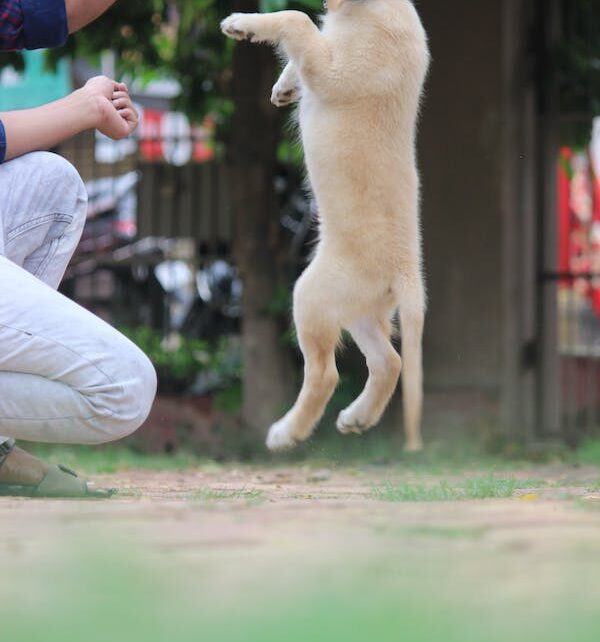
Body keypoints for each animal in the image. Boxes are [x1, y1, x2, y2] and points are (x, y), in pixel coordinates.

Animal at [223, 0, 428, 450]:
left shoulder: (334, 68)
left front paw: (243, 25)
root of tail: (406, 273)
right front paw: (285, 85)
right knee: (390, 361)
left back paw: (285, 433)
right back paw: (357, 417)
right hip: (359, 309)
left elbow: (296, 19)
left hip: (312, 295)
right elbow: (304, 32)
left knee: (325, 375)